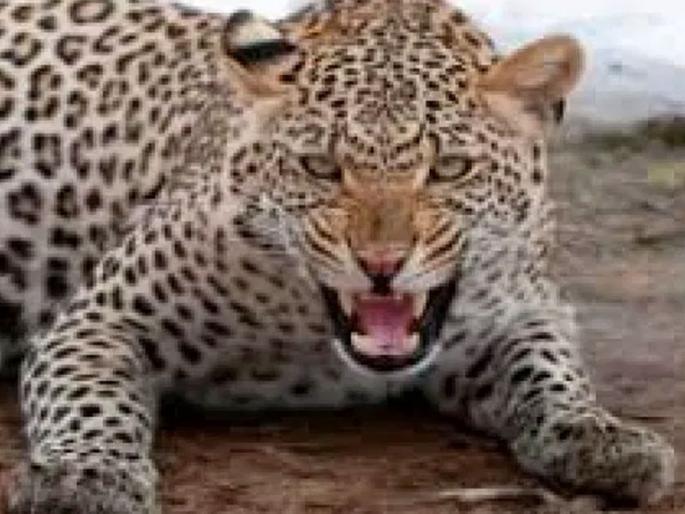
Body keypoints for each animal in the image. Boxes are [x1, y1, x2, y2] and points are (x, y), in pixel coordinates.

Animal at [0, 0, 676, 512]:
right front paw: (86, 479)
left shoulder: (527, 307)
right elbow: (92, 401)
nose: (381, 264)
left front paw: (601, 435)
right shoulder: (101, 319)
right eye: (321, 167)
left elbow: (552, 371)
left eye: (450, 168)